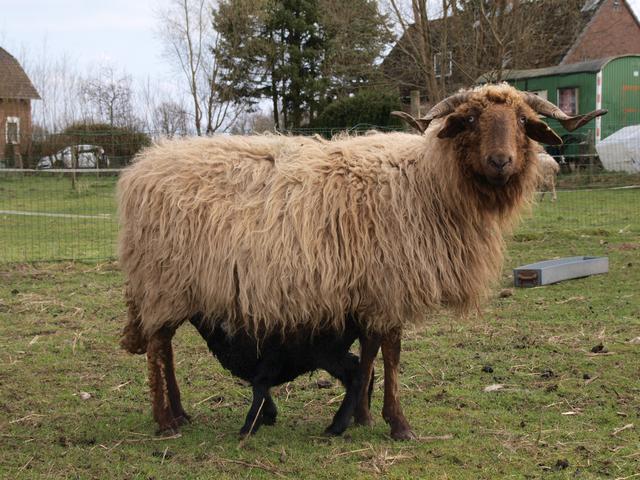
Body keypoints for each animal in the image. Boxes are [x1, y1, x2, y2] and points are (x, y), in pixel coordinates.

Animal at [189, 314, 371, 436]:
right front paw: (269, 416)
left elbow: (259, 387)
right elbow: (260, 388)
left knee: (356, 376)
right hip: (332, 353)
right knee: (360, 370)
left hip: (328, 352)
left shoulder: (271, 359)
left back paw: (336, 426)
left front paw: (249, 427)